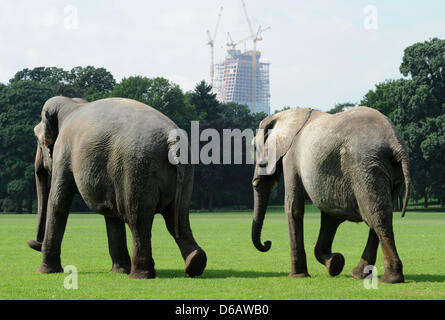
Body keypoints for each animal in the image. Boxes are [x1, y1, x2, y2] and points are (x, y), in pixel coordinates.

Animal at [27, 96, 206, 278]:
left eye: (38, 139)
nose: (33, 242)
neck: (71, 104)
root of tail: (171, 139)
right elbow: (111, 213)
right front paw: (119, 271)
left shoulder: (63, 153)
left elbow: (58, 203)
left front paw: (45, 272)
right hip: (184, 172)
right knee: (178, 217)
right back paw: (195, 262)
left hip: (137, 168)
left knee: (138, 219)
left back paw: (140, 275)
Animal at [250, 107, 410, 282]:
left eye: (255, 148)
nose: (267, 243)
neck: (287, 114)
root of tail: (396, 143)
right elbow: (331, 217)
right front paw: (335, 263)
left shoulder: (291, 157)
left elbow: (294, 209)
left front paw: (298, 276)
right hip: (388, 172)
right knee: (382, 215)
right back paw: (359, 274)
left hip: (365, 167)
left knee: (376, 217)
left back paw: (390, 279)